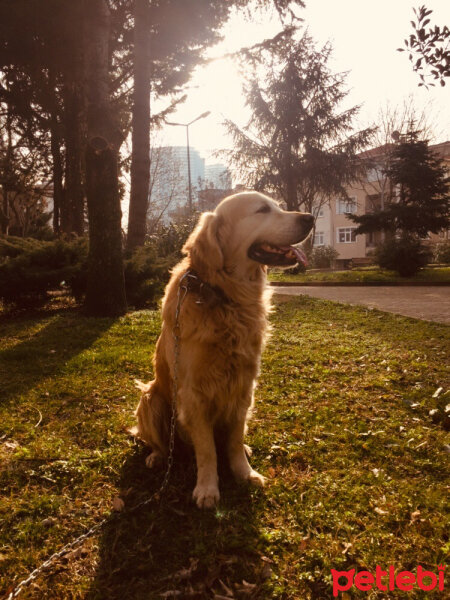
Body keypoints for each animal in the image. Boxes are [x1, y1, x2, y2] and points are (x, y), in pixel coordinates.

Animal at [134, 191, 312, 506]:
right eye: (262, 210)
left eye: (277, 206)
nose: (310, 218)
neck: (227, 297)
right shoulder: (193, 394)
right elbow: (207, 450)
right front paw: (207, 488)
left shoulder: (243, 386)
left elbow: (234, 441)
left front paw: (245, 472)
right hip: (150, 398)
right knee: (159, 443)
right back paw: (157, 457)